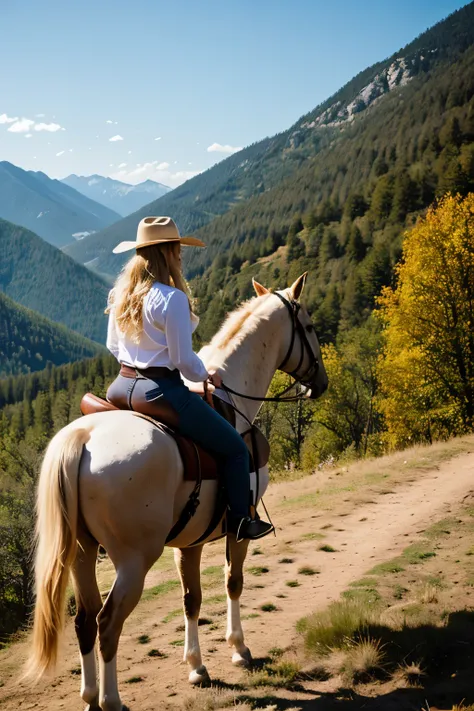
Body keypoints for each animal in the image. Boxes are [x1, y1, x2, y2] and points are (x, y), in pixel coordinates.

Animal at [27, 274, 328, 711]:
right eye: (308, 326)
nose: (319, 384)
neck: (233, 398)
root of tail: (83, 438)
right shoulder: (239, 526)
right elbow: (233, 582)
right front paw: (239, 649)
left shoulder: (189, 542)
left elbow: (191, 599)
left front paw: (197, 667)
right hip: (134, 561)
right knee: (107, 622)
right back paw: (112, 700)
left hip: (83, 551)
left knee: (85, 620)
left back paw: (89, 696)